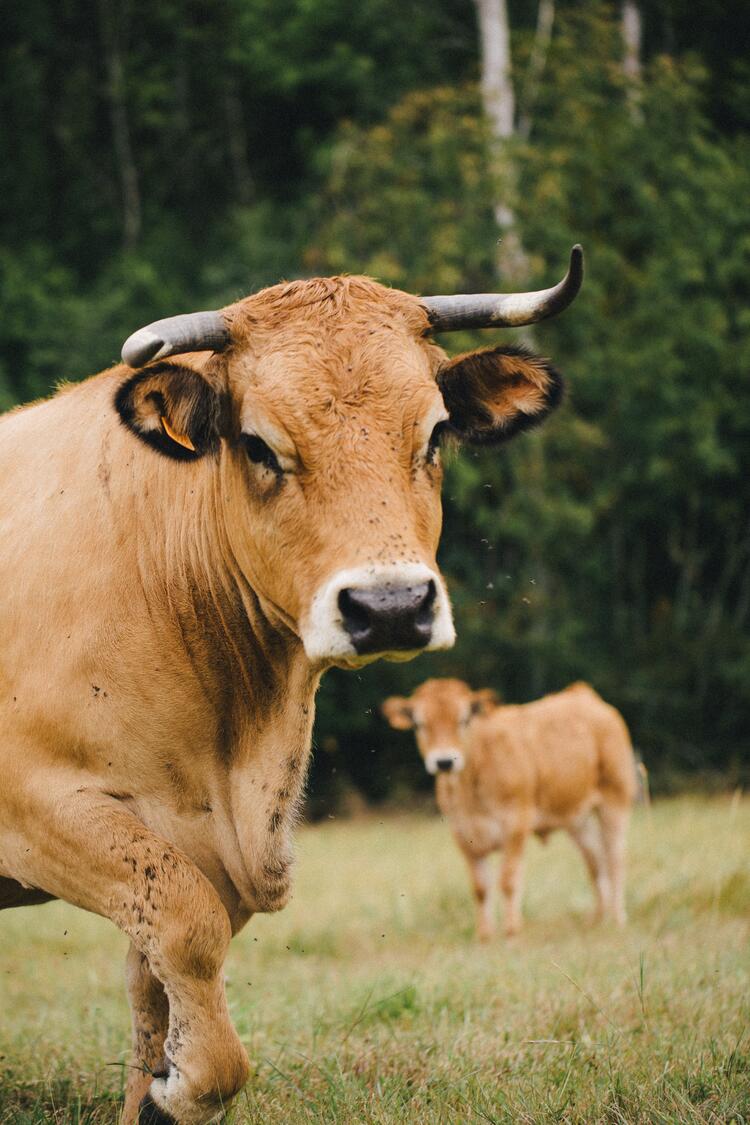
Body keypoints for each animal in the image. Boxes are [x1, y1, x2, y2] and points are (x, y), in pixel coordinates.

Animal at [0, 250, 584, 1120]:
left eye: (435, 431)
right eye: (256, 444)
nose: (390, 605)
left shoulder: (206, 845)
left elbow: (157, 978)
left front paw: (156, 1090)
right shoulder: (41, 807)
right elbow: (186, 926)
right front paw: (185, 1086)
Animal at [384, 675, 638, 940]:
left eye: (464, 719)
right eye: (419, 724)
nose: (444, 762)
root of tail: (582, 695)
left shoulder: (516, 825)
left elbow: (508, 880)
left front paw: (511, 932)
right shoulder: (462, 834)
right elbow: (480, 888)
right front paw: (485, 936)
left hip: (614, 801)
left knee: (615, 858)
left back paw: (617, 918)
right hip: (577, 819)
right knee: (595, 862)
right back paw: (598, 919)